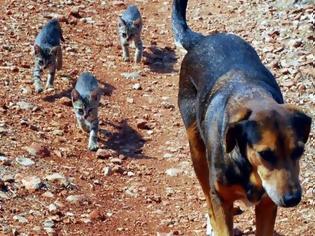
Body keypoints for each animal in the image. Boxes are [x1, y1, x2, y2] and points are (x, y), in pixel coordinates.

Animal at [173, 0, 314, 236]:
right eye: (265, 154)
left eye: (299, 151)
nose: (293, 199)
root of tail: (202, 39)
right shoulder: (221, 199)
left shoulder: (267, 205)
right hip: (196, 149)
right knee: (206, 194)